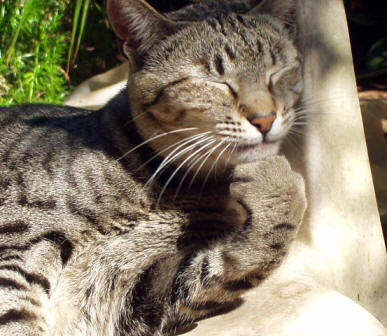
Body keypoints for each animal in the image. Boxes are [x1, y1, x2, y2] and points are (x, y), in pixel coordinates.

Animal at [1, 0, 308, 334]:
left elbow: (239, 262)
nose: (265, 119)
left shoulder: (135, 294)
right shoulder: (18, 242)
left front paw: (279, 188)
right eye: (216, 82)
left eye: (277, 72)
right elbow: (15, 317)